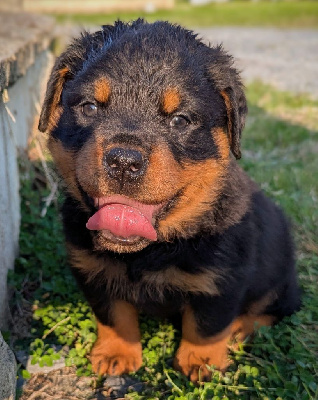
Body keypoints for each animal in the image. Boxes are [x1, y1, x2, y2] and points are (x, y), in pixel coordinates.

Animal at [38, 20, 300, 382]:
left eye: (180, 120)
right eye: (89, 107)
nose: (124, 161)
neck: (149, 251)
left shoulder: (221, 282)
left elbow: (207, 326)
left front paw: (201, 362)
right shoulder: (92, 270)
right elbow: (113, 315)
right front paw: (117, 352)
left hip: (279, 277)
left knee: (275, 310)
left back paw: (240, 331)